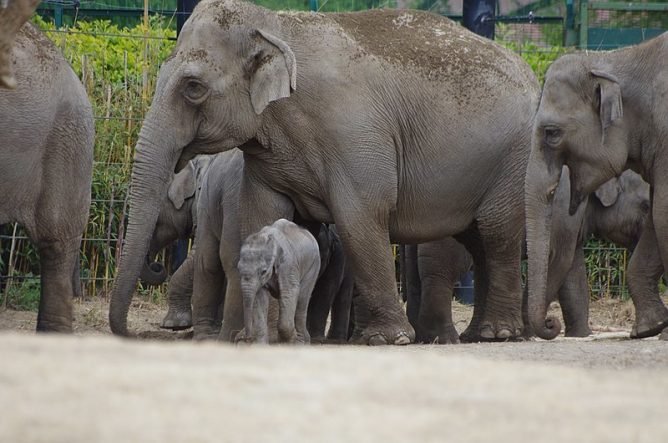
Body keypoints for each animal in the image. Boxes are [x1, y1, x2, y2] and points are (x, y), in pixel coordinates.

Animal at [109, 0, 540, 345]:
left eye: (193, 87)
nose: (129, 333)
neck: (274, 24)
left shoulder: (355, 135)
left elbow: (360, 217)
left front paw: (390, 339)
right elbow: (260, 215)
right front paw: (265, 336)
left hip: (515, 158)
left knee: (497, 234)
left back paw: (498, 333)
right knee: (479, 241)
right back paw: (480, 334)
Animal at [406, 168, 649, 343]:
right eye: (646, 205)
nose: (552, 322)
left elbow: (573, 272)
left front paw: (581, 335)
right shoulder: (561, 213)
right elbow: (556, 263)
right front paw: (526, 335)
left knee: (416, 278)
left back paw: (431, 337)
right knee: (442, 273)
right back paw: (447, 338)